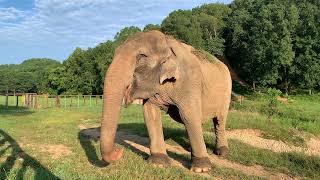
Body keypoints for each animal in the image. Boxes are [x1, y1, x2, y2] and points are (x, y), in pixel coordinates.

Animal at [101, 30, 231, 172]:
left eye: (141, 56)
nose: (119, 151)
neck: (167, 41)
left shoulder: (190, 81)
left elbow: (188, 115)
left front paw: (201, 169)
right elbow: (150, 113)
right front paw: (158, 163)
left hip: (226, 92)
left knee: (219, 120)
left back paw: (222, 152)